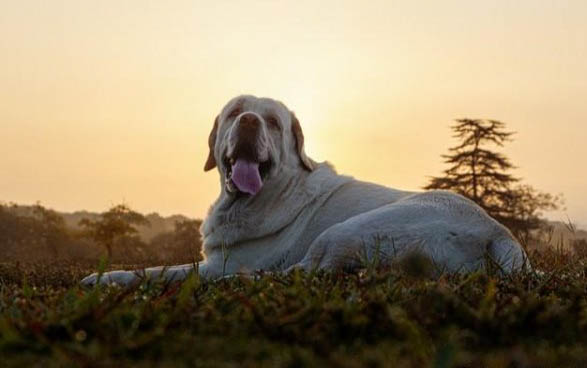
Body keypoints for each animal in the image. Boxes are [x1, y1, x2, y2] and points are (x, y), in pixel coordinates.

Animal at [81, 96, 528, 286]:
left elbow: (160, 269)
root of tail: (500, 233)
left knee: (297, 271)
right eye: (234, 111)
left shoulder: (215, 264)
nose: (247, 120)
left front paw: (104, 278)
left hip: (349, 228)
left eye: (273, 122)